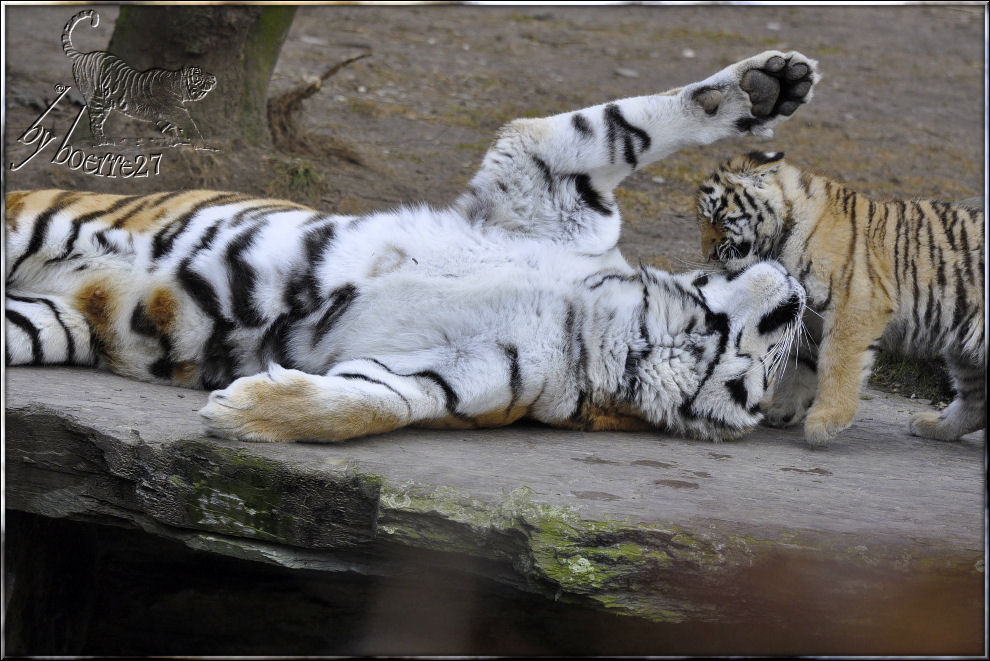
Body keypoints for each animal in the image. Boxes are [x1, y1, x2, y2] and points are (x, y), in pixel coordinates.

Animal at [3, 51, 816, 444]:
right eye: (779, 343)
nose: (801, 294)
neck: (623, 320)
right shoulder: (547, 176)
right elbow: (630, 122)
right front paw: (766, 87)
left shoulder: (448, 375)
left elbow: (370, 405)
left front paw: (249, 409)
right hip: (32, 220)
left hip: (40, 326)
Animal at [696, 152, 984, 446]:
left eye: (716, 218)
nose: (708, 255)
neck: (782, 238)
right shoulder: (810, 316)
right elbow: (799, 365)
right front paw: (782, 410)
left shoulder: (856, 305)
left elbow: (837, 363)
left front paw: (826, 420)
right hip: (965, 355)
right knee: (976, 402)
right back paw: (933, 425)